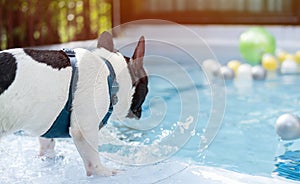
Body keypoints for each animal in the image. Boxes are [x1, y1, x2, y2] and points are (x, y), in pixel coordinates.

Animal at [0, 32, 149, 177]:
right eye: (147, 88)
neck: (110, 74)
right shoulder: (85, 129)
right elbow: (92, 157)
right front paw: (103, 171)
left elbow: (47, 144)